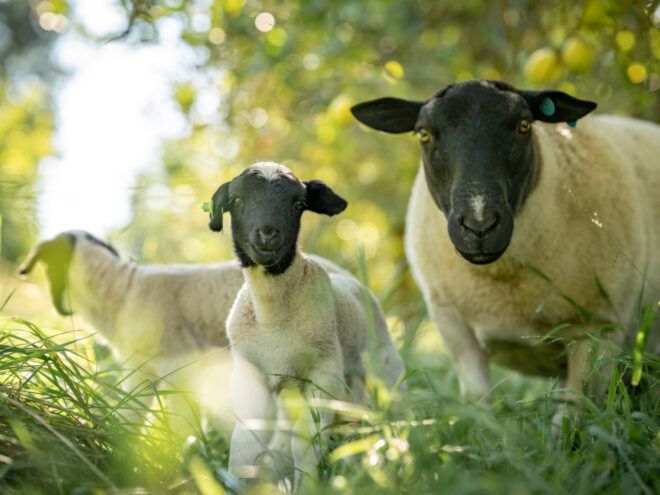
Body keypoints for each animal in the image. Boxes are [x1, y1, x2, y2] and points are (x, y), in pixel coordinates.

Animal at [18, 230, 245, 430]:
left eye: (48, 268)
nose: (58, 308)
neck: (121, 293)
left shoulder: (179, 366)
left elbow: (182, 427)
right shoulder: (140, 371)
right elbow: (129, 416)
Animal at [208, 162, 405, 487]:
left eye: (298, 205)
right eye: (237, 201)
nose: (267, 234)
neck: (272, 316)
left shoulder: (323, 373)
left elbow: (306, 445)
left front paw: (309, 484)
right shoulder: (250, 374)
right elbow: (246, 443)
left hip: (382, 365)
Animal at [351, 80, 660, 427]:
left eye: (524, 125)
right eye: (423, 133)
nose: (480, 225)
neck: (506, 288)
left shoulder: (600, 330)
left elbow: (570, 421)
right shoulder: (455, 329)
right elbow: (479, 408)